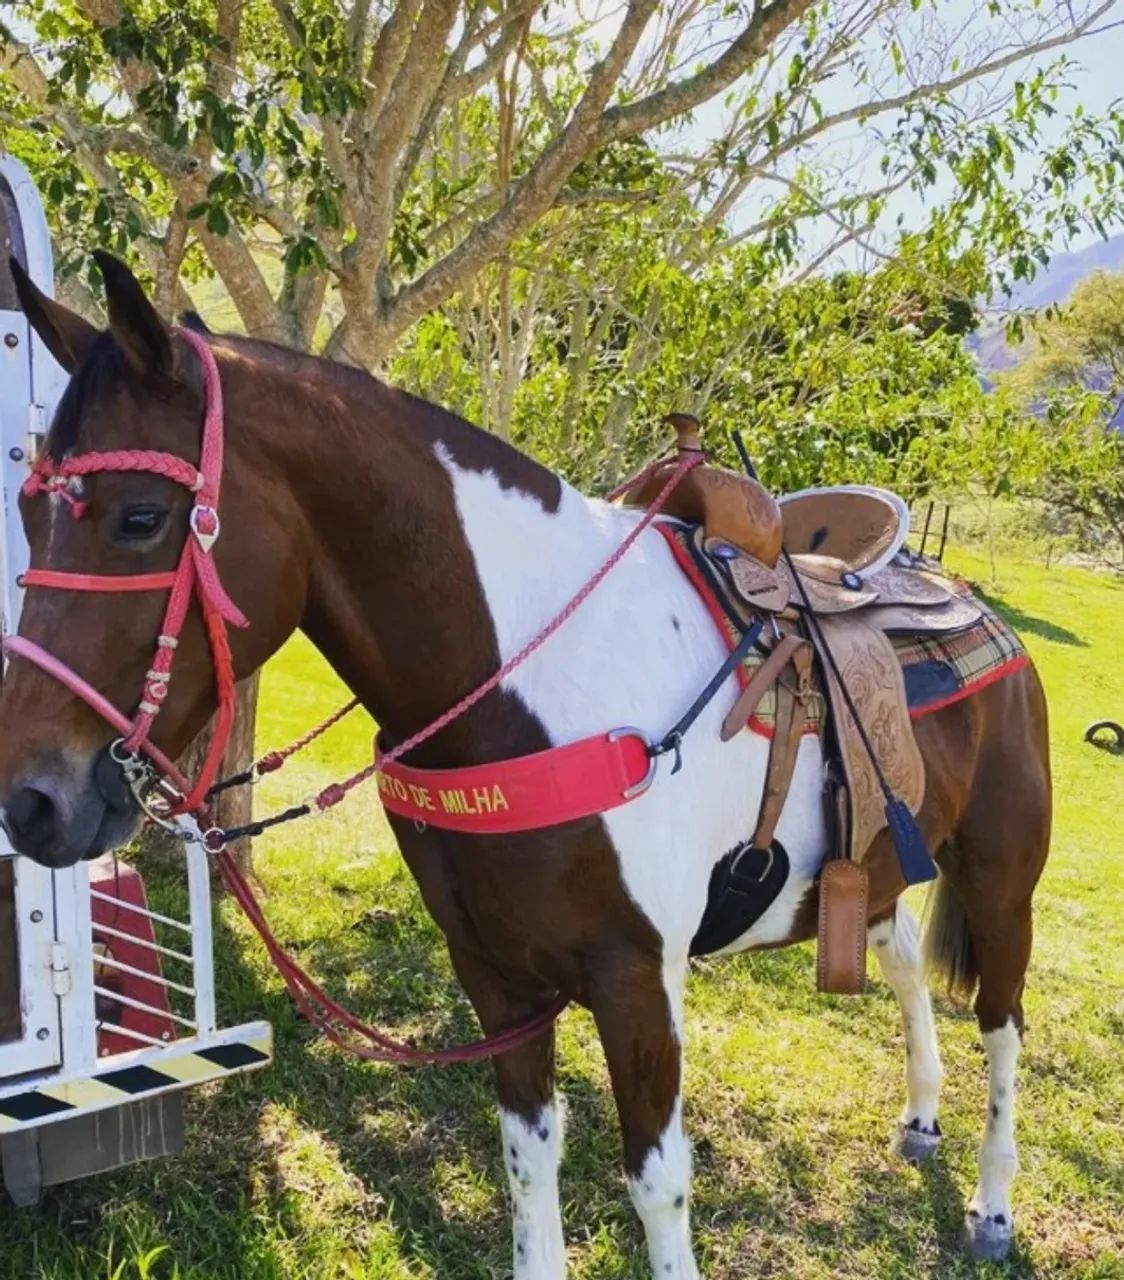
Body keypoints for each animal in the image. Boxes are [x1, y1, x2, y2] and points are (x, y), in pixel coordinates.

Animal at [0, 252, 1051, 1276]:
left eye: (141, 518)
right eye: (26, 508)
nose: (31, 801)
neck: (535, 688)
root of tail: (968, 598)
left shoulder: (638, 981)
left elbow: (657, 1186)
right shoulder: (496, 977)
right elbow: (526, 1161)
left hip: (999, 884)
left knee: (1003, 1025)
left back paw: (993, 1206)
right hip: (871, 867)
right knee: (903, 955)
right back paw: (921, 1116)